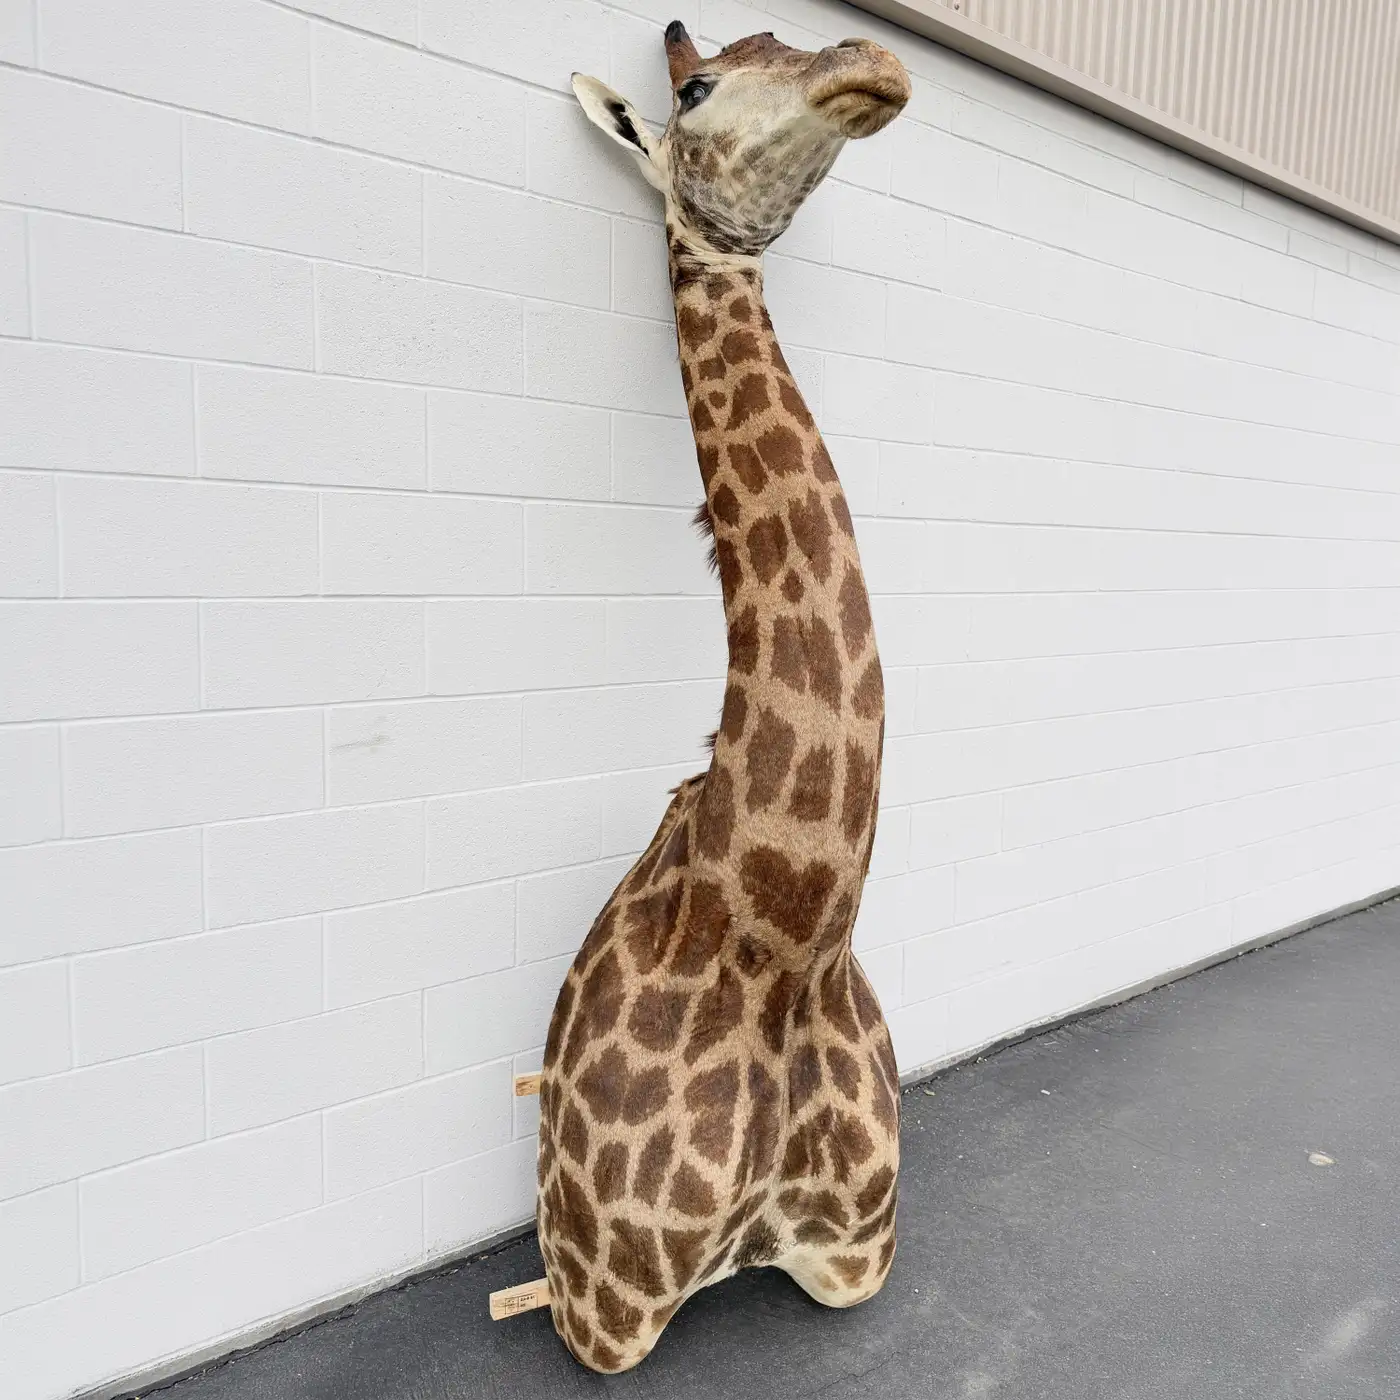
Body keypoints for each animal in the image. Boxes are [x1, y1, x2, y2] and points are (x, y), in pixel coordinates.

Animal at [535, 22, 912, 1374]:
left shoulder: (856, 1255)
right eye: (695, 86)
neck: (784, 945)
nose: (869, 62)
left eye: (797, 41)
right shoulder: (599, 1313)